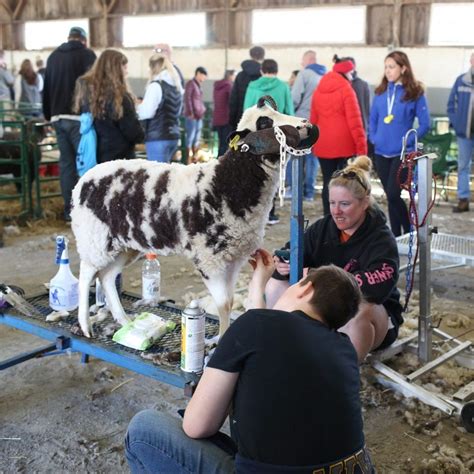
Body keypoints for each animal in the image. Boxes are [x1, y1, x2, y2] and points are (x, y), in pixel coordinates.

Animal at [70, 96, 318, 338]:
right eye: (265, 123)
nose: (307, 126)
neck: (228, 182)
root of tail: (83, 180)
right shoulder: (209, 259)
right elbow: (224, 305)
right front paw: (220, 341)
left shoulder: (233, 258)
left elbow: (228, 302)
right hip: (94, 239)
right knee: (86, 276)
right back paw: (85, 325)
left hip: (125, 244)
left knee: (107, 277)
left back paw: (124, 321)